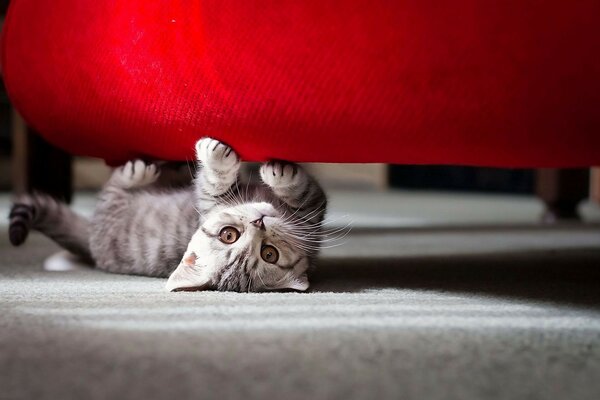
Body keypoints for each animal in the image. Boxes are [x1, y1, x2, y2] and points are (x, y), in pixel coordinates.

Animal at [8, 139, 328, 292]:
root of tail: (92, 241)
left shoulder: (312, 216)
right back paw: (141, 170)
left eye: (269, 254)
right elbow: (215, 181)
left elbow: (303, 193)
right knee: (116, 187)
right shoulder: (209, 199)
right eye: (229, 235)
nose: (258, 221)